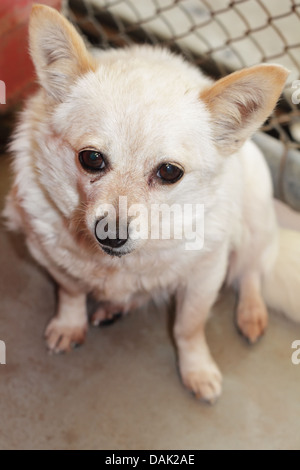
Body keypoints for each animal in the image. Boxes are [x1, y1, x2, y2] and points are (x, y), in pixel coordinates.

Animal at [2, 5, 300, 402]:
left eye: (169, 172)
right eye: (91, 158)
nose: (111, 236)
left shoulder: (205, 276)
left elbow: (189, 327)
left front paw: (197, 370)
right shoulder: (48, 256)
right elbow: (71, 291)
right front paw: (69, 324)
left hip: (254, 215)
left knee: (252, 270)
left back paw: (250, 313)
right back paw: (114, 305)